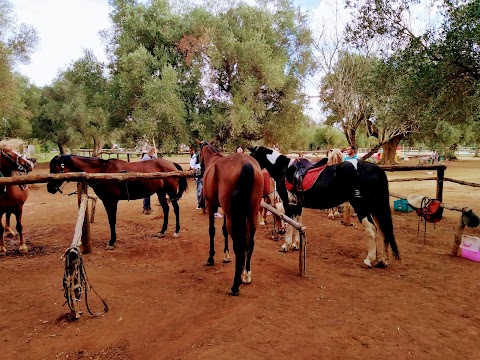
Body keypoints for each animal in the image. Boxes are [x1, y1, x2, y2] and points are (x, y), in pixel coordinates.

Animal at [47, 155, 188, 250]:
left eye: (55, 168)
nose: (49, 188)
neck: (102, 171)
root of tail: (172, 164)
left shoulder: (112, 201)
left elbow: (112, 220)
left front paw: (111, 242)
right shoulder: (106, 201)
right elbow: (111, 220)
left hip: (170, 192)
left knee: (176, 209)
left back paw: (176, 231)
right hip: (161, 192)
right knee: (166, 209)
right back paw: (162, 231)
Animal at [198, 141, 262, 296]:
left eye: (198, 154)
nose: (200, 169)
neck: (213, 161)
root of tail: (246, 163)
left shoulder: (211, 205)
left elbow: (212, 230)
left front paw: (211, 258)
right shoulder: (226, 212)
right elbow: (223, 230)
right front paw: (226, 256)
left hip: (234, 217)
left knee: (239, 247)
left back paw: (235, 285)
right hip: (251, 215)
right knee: (250, 243)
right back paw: (246, 275)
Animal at [248, 146, 402, 268]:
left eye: (251, 156)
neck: (285, 169)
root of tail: (376, 169)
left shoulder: (288, 203)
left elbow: (290, 224)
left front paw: (286, 245)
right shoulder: (297, 205)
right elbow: (298, 223)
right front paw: (296, 244)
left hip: (361, 207)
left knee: (372, 230)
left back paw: (369, 260)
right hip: (376, 207)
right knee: (383, 230)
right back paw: (383, 260)